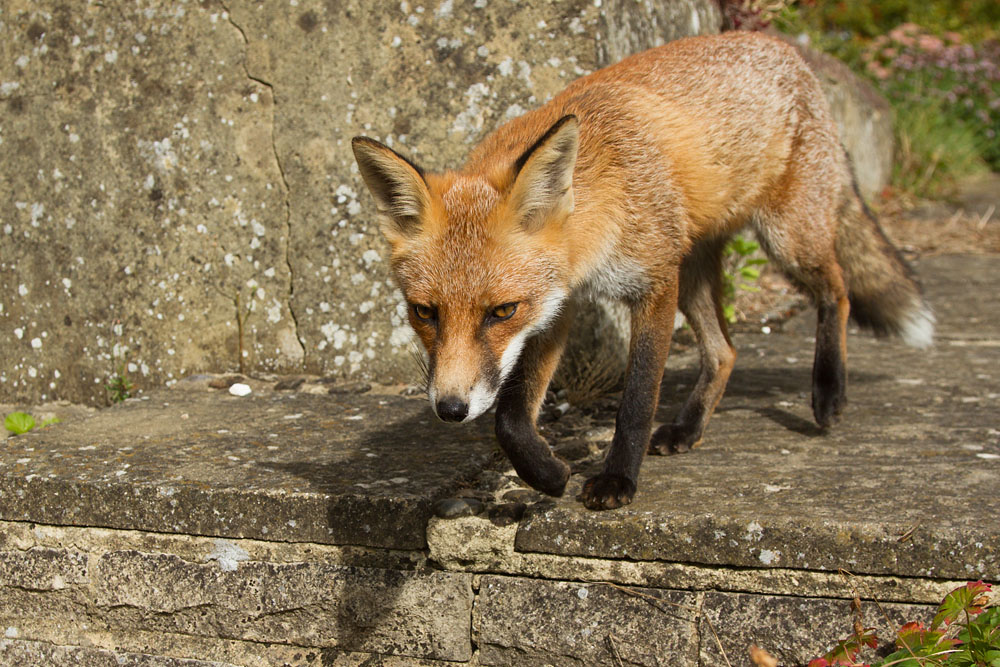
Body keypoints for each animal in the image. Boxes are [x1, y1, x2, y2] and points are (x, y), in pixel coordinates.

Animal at [351, 31, 934, 511]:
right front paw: (548, 475)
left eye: (501, 311)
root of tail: (787, 49)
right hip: (696, 269)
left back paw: (829, 392)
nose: (449, 408)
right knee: (725, 351)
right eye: (423, 312)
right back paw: (687, 428)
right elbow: (510, 418)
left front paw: (616, 480)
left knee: (838, 290)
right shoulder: (558, 304)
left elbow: (635, 400)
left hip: (785, 240)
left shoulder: (652, 285)